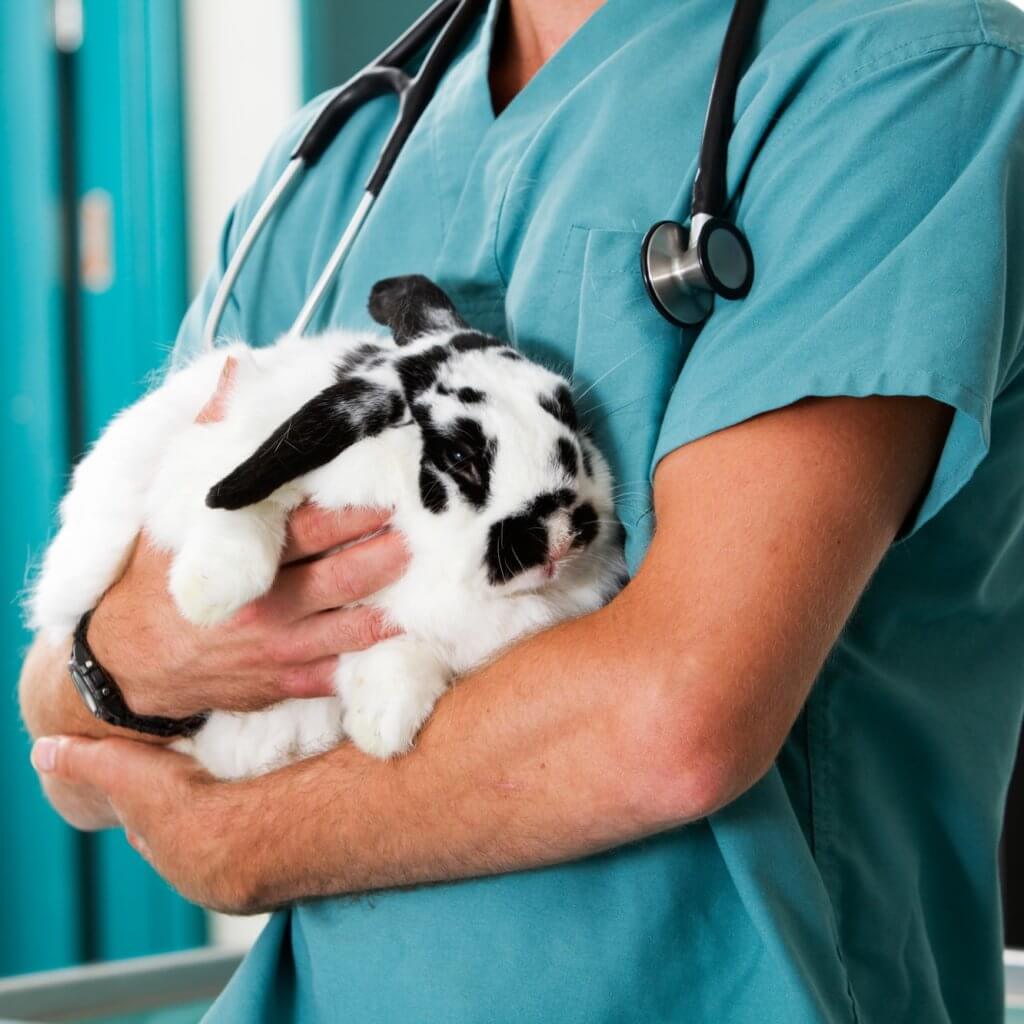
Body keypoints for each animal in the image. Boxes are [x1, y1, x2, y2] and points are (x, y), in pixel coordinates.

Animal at [29, 276, 622, 778]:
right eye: (459, 455)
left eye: (568, 413)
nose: (561, 534)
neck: (430, 548)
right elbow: (244, 508)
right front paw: (210, 595)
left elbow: (400, 648)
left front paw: (383, 723)